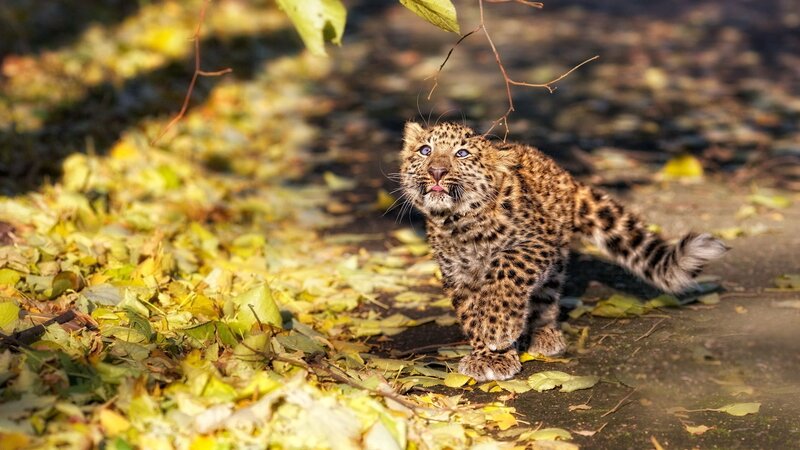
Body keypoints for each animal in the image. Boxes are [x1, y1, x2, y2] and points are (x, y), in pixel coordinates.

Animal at [399, 121, 728, 381]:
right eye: (425, 151)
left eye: (462, 154)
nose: (437, 171)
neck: (459, 223)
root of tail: (565, 175)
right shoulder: (458, 274)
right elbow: (470, 312)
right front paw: (487, 355)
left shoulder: (536, 243)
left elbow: (505, 268)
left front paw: (499, 331)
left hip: (554, 257)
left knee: (547, 296)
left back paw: (545, 335)